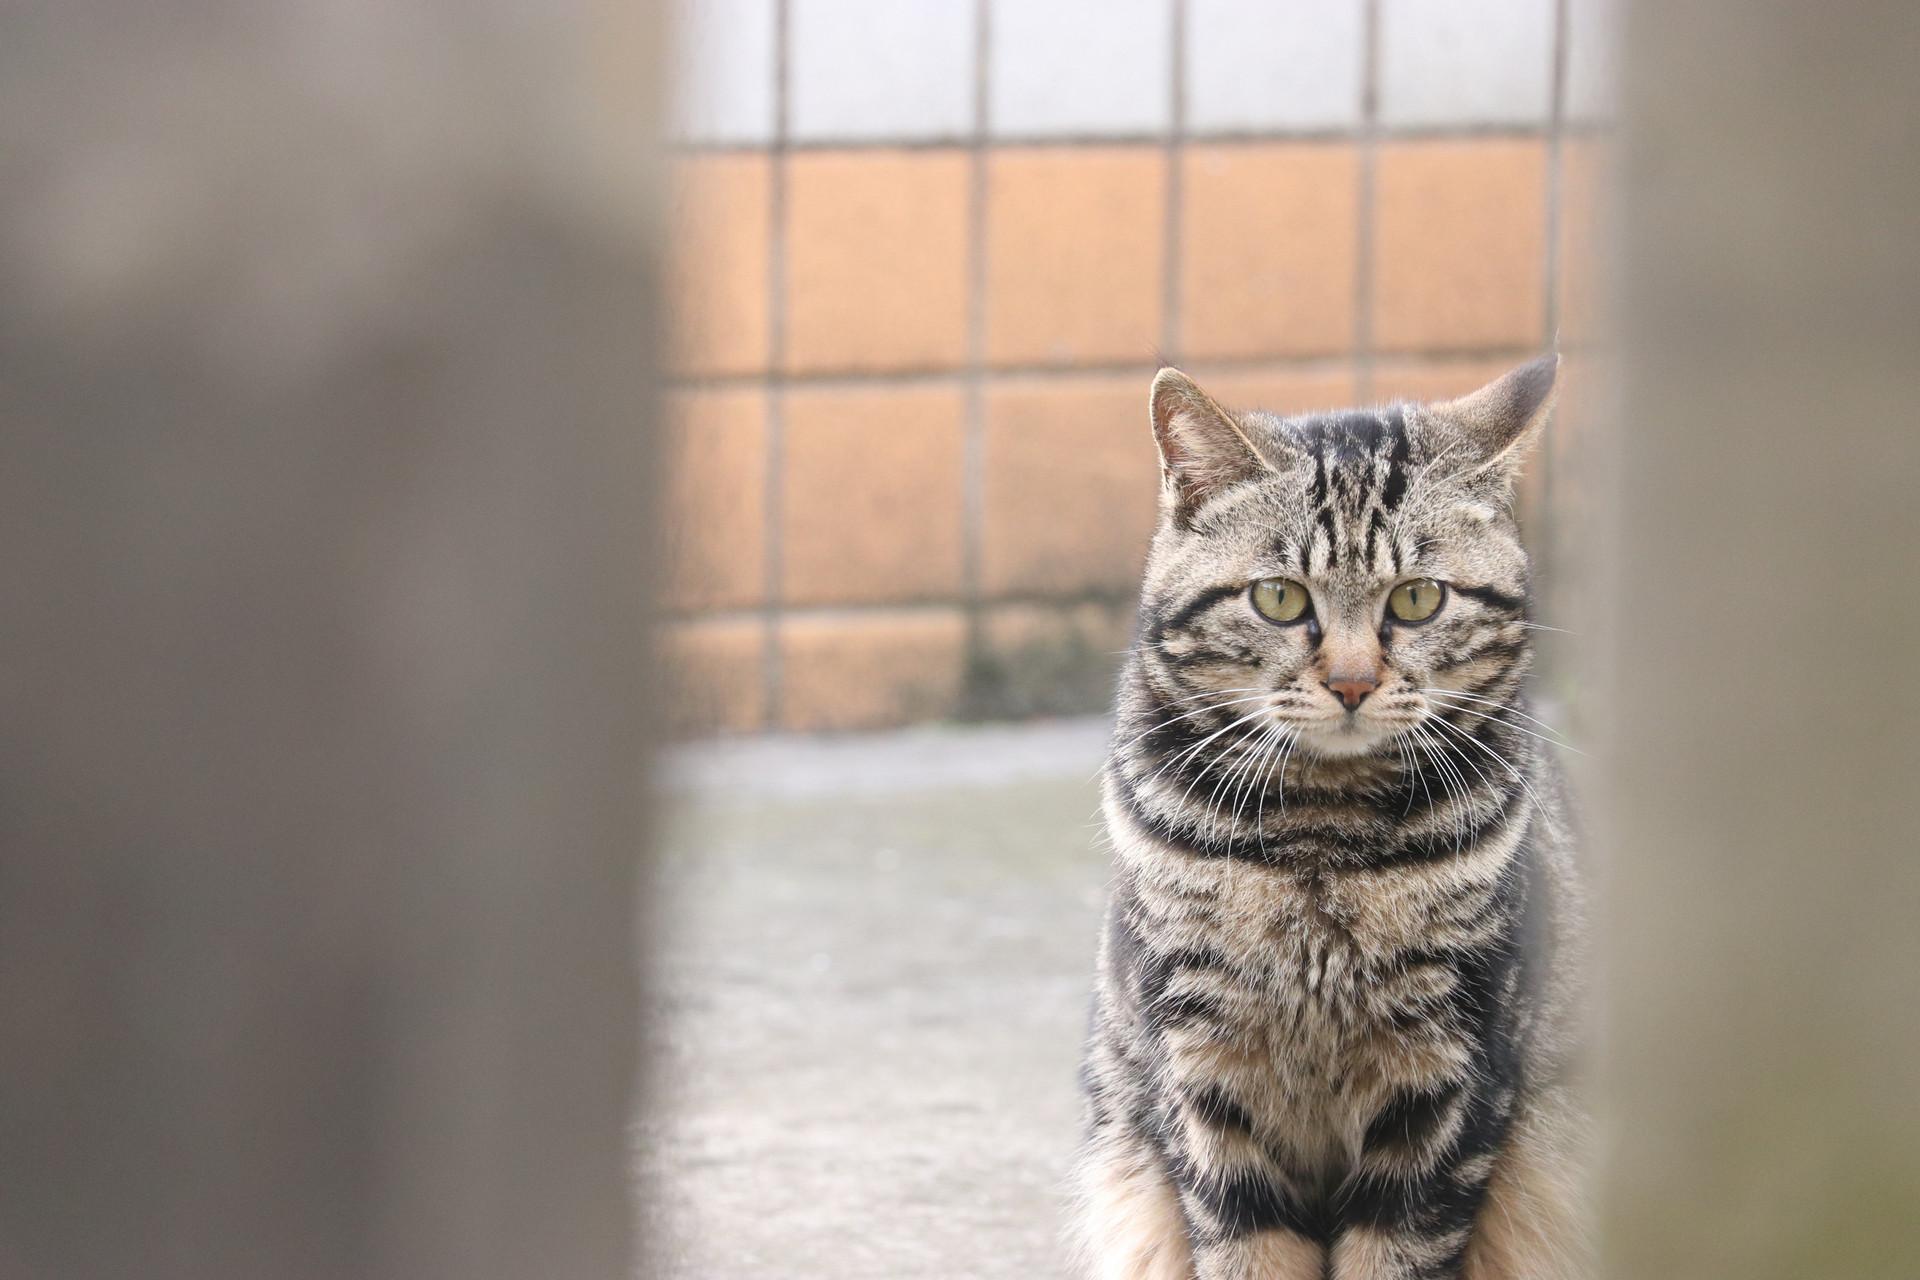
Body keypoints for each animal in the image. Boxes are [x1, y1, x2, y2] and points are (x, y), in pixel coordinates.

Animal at [1075, 360, 1582, 1280]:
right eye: (1279, 598)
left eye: (1417, 599)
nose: (1351, 683)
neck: (1322, 838)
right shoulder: (1204, 1074)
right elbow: (1247, 1249)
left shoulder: (1450, 1072)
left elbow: (1398, 1253)